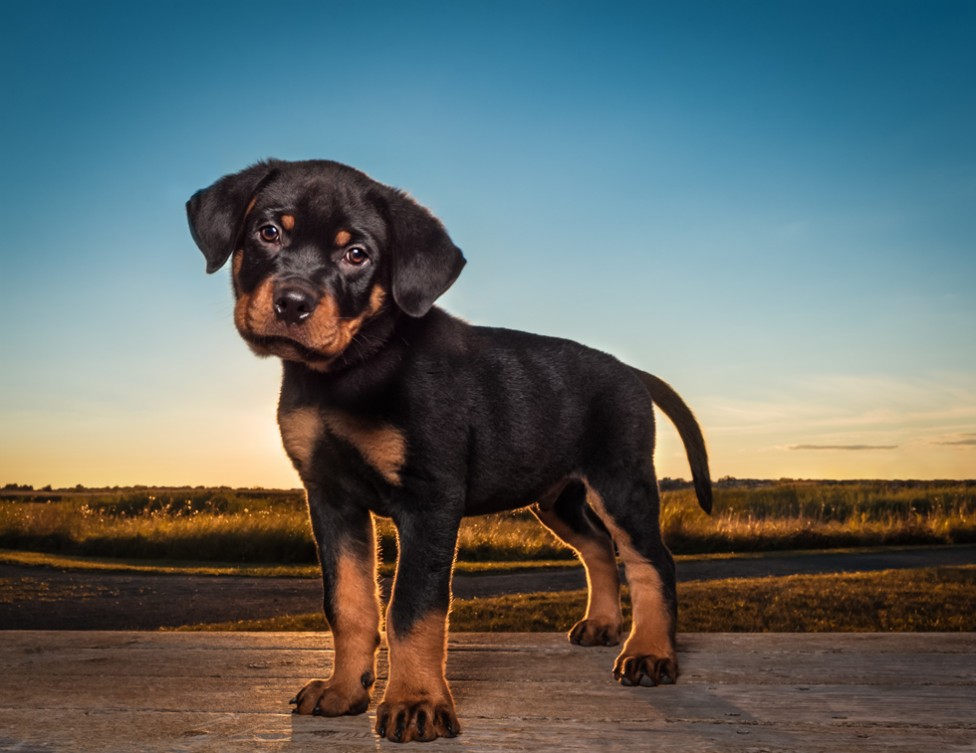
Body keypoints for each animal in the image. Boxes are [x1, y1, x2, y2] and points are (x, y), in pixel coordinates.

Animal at [189, 159, 708, 740]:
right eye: (269, 232)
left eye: (357, 254)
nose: (292, 303)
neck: (354, 370)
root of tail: (631, 371)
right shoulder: (330, 497)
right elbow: (348, 603)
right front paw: (344, 690)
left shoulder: (430, 500)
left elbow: (412, 609)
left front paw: (415, 703)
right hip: (556, 496)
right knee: (596, 545)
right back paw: (602, 624)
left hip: (620, 480)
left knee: (651, 559)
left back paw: (650, 653)